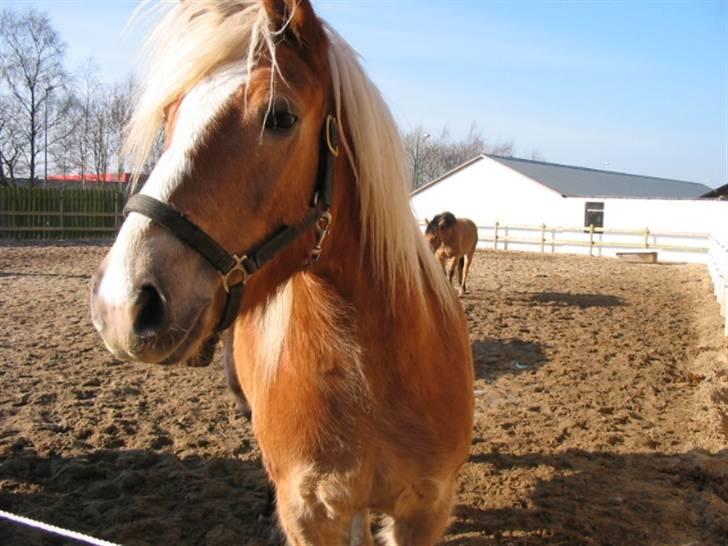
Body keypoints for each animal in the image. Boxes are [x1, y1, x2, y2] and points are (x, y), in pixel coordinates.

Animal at [89, 2, 472, 540]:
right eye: (171, 115)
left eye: (281, 117)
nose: (121, 305)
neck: (373, 373)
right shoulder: (308, 512)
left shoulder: (424, 511)